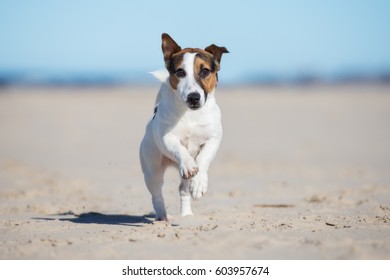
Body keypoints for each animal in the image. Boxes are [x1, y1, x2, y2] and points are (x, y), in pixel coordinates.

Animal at [139, 33, 229, 221]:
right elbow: (179, 149)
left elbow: (203, 158)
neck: (190, 115)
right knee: (156, 195)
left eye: (205, 71)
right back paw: (162, 217)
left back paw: (187, 215)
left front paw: (199, 183)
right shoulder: (167, 137)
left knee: (183, 190)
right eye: (180, 72)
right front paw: (188, 164)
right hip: (152, 170)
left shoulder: (213, 139)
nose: (193, 97)